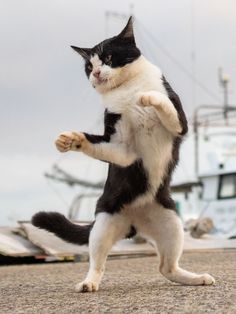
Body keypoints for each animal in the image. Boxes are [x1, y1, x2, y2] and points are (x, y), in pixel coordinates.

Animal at [32, 17, 215, 292]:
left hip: (172, 223)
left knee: (167, 267)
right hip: (102, 226)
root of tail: (134, 224)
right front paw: (70, 140)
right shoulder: (122, 148)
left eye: (108, 57)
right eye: (89, 66)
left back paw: (197, 278)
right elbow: (99, 143)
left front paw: (147, 97)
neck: (126, 89)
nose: (96, 73)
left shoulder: (180, 123)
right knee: (98, 263)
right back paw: (88, 283)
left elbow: (162, 102)